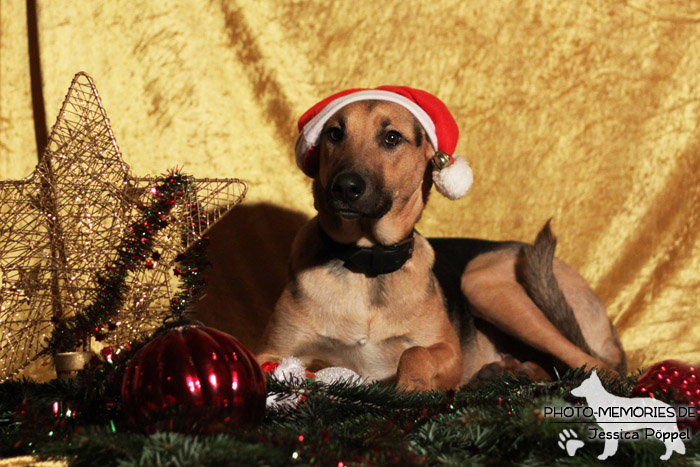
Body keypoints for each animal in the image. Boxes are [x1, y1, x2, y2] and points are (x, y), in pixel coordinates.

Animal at [256, 87, 624, 392]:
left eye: (392, 137)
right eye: (334, 134)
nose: (345, 188)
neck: (367, 263)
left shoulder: (448, 350)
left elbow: (416, 352)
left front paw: (412, 386)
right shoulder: (270, 353)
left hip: (482, 281)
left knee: (597, 367)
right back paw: (508, 372)